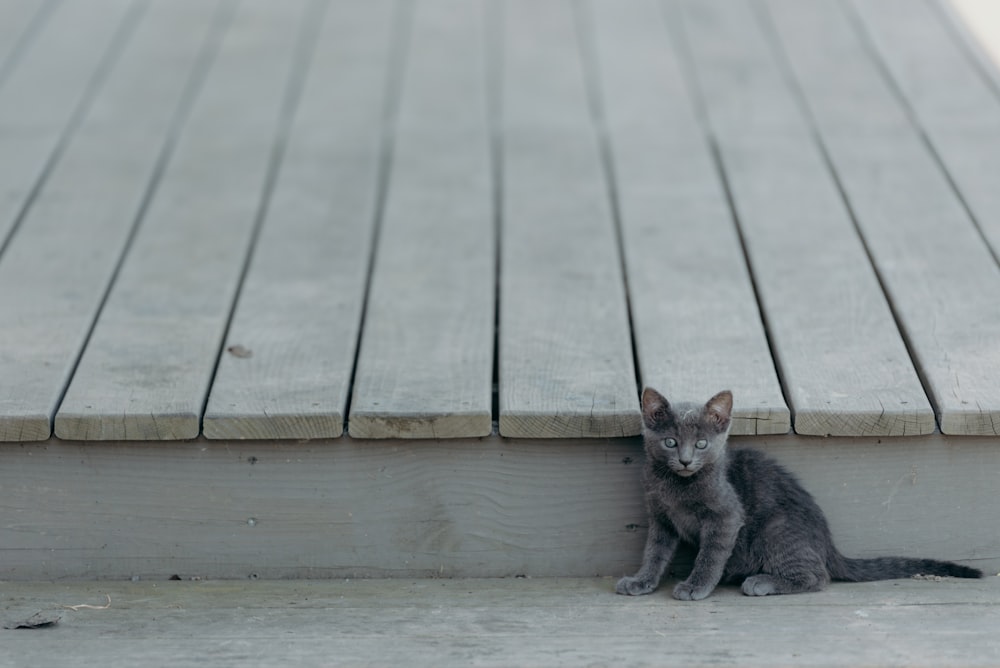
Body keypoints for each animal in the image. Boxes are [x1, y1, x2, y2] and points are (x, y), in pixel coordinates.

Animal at [616, 386, 984, 600]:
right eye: (671, 442)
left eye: (702, 444)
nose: (685, 460)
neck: (677, 486)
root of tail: (828, 544)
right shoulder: (660, 517)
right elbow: (654, 552)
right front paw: (641, 580)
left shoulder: (726, 516)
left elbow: (710, 555)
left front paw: (696, 586)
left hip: (775, 529)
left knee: (818, 577)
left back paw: (762, 582)